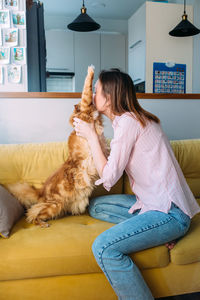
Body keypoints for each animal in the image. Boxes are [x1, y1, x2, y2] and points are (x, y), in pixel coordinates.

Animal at [7, 65, 108, 225]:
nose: (96, 94)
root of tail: (41, 191)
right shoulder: (86, 105)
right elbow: (86, 87)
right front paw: (91, 71)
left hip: (57, 206)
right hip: (54, 206)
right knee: (32, 214)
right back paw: (42, 224)